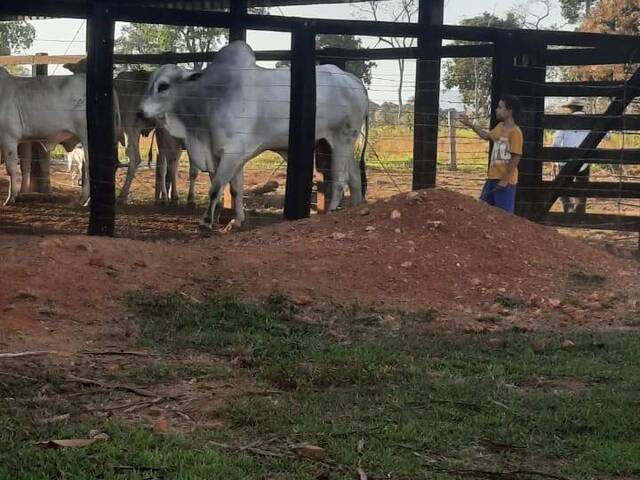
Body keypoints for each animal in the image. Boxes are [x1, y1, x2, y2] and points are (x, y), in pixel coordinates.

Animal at [140, 40, 370, 232]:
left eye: (163, 86)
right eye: (150, 84)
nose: (140, 112)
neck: (212, 98)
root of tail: (355, 83)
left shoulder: (233, 152)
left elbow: (216, 188)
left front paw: (205, 222)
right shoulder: (224, 155)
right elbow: (235, 190)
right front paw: (235, 221)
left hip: (341, 140)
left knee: (340, 179)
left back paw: (331, 212)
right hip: (337, 143)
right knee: (354, 177)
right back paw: (356, 208)